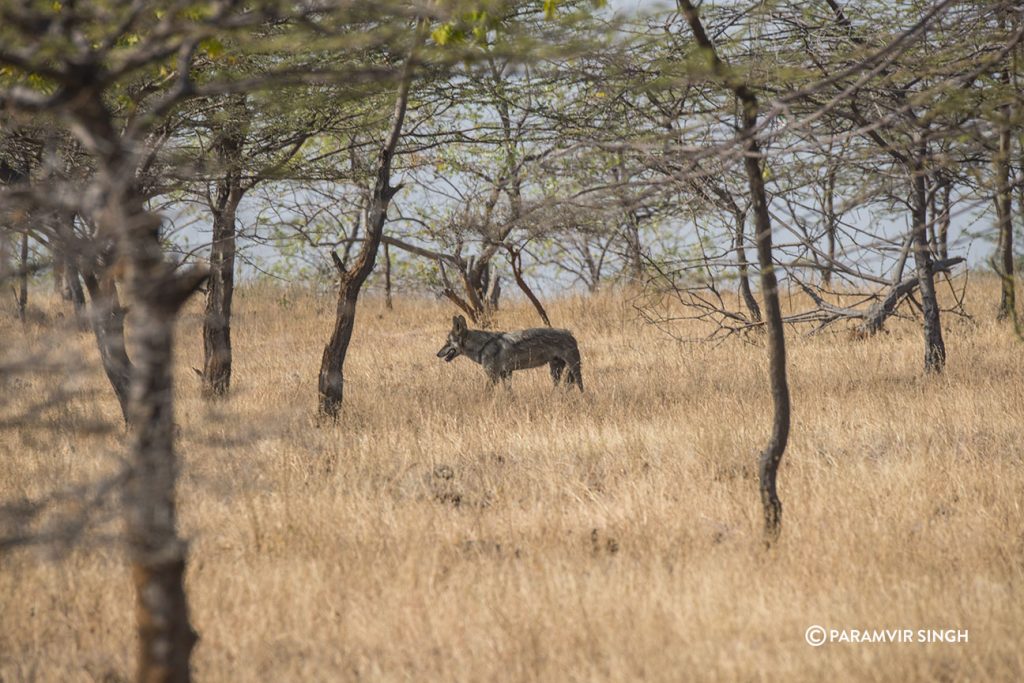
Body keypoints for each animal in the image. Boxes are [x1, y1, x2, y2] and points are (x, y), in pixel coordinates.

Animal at [436, 315, 589, 389]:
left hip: (574, 370)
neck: (483, 345)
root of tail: (570, 334)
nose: (437, 354)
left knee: (581, 387)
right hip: (555, 372)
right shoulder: (506, 374)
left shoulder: (493, 377)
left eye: (447, 342)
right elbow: (510, 395)